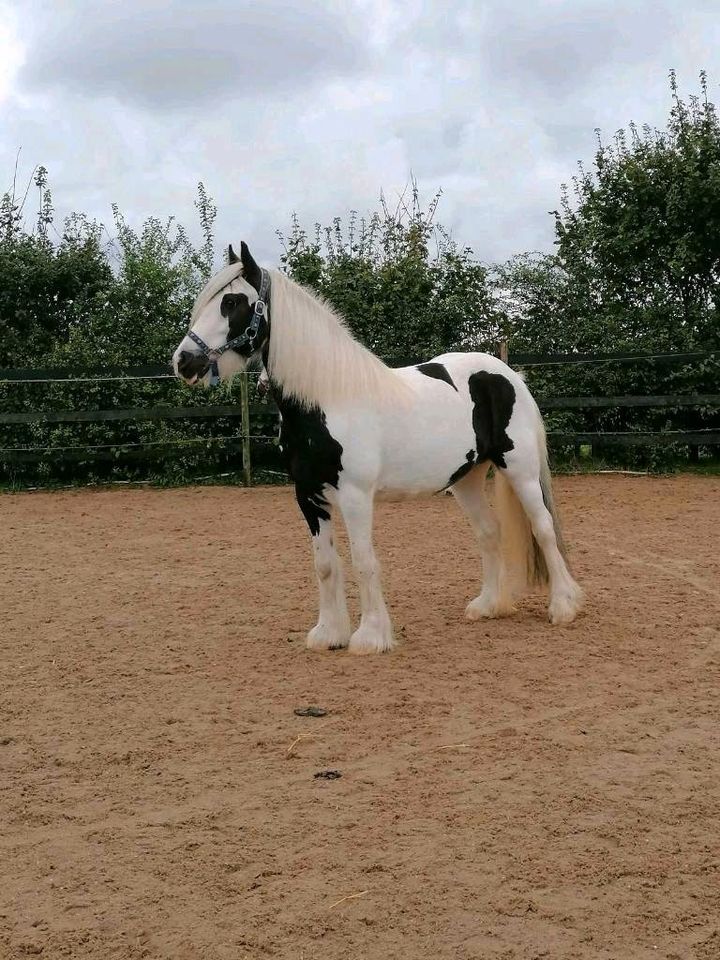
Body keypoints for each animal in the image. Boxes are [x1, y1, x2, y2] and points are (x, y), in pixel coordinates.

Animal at [172, 244, 584, 656]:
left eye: (231, 302)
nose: (183, 361)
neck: (329, 400)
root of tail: (507, 373)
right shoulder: (307, 495)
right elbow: (325, 564)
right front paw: (329, 633)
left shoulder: (355, 496)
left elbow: (363, 561)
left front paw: (370, 637)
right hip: (466, 479)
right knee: (489, 532)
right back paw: (488, 605)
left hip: (520, 469)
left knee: (544, 527)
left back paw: (563, 606)